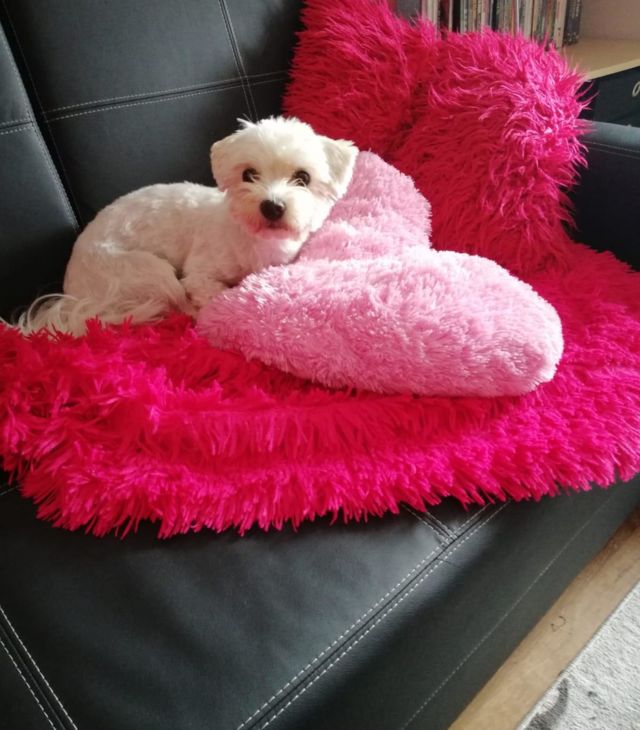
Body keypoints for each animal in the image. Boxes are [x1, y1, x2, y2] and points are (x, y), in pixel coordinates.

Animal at [17, 117, 357, 335]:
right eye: (248, 174)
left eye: (303, 178)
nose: (272, 205)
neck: (257, 242)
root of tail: (73, 295)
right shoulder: (200, 274)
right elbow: (210, 291)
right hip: (148, 272)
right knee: (175, 299)